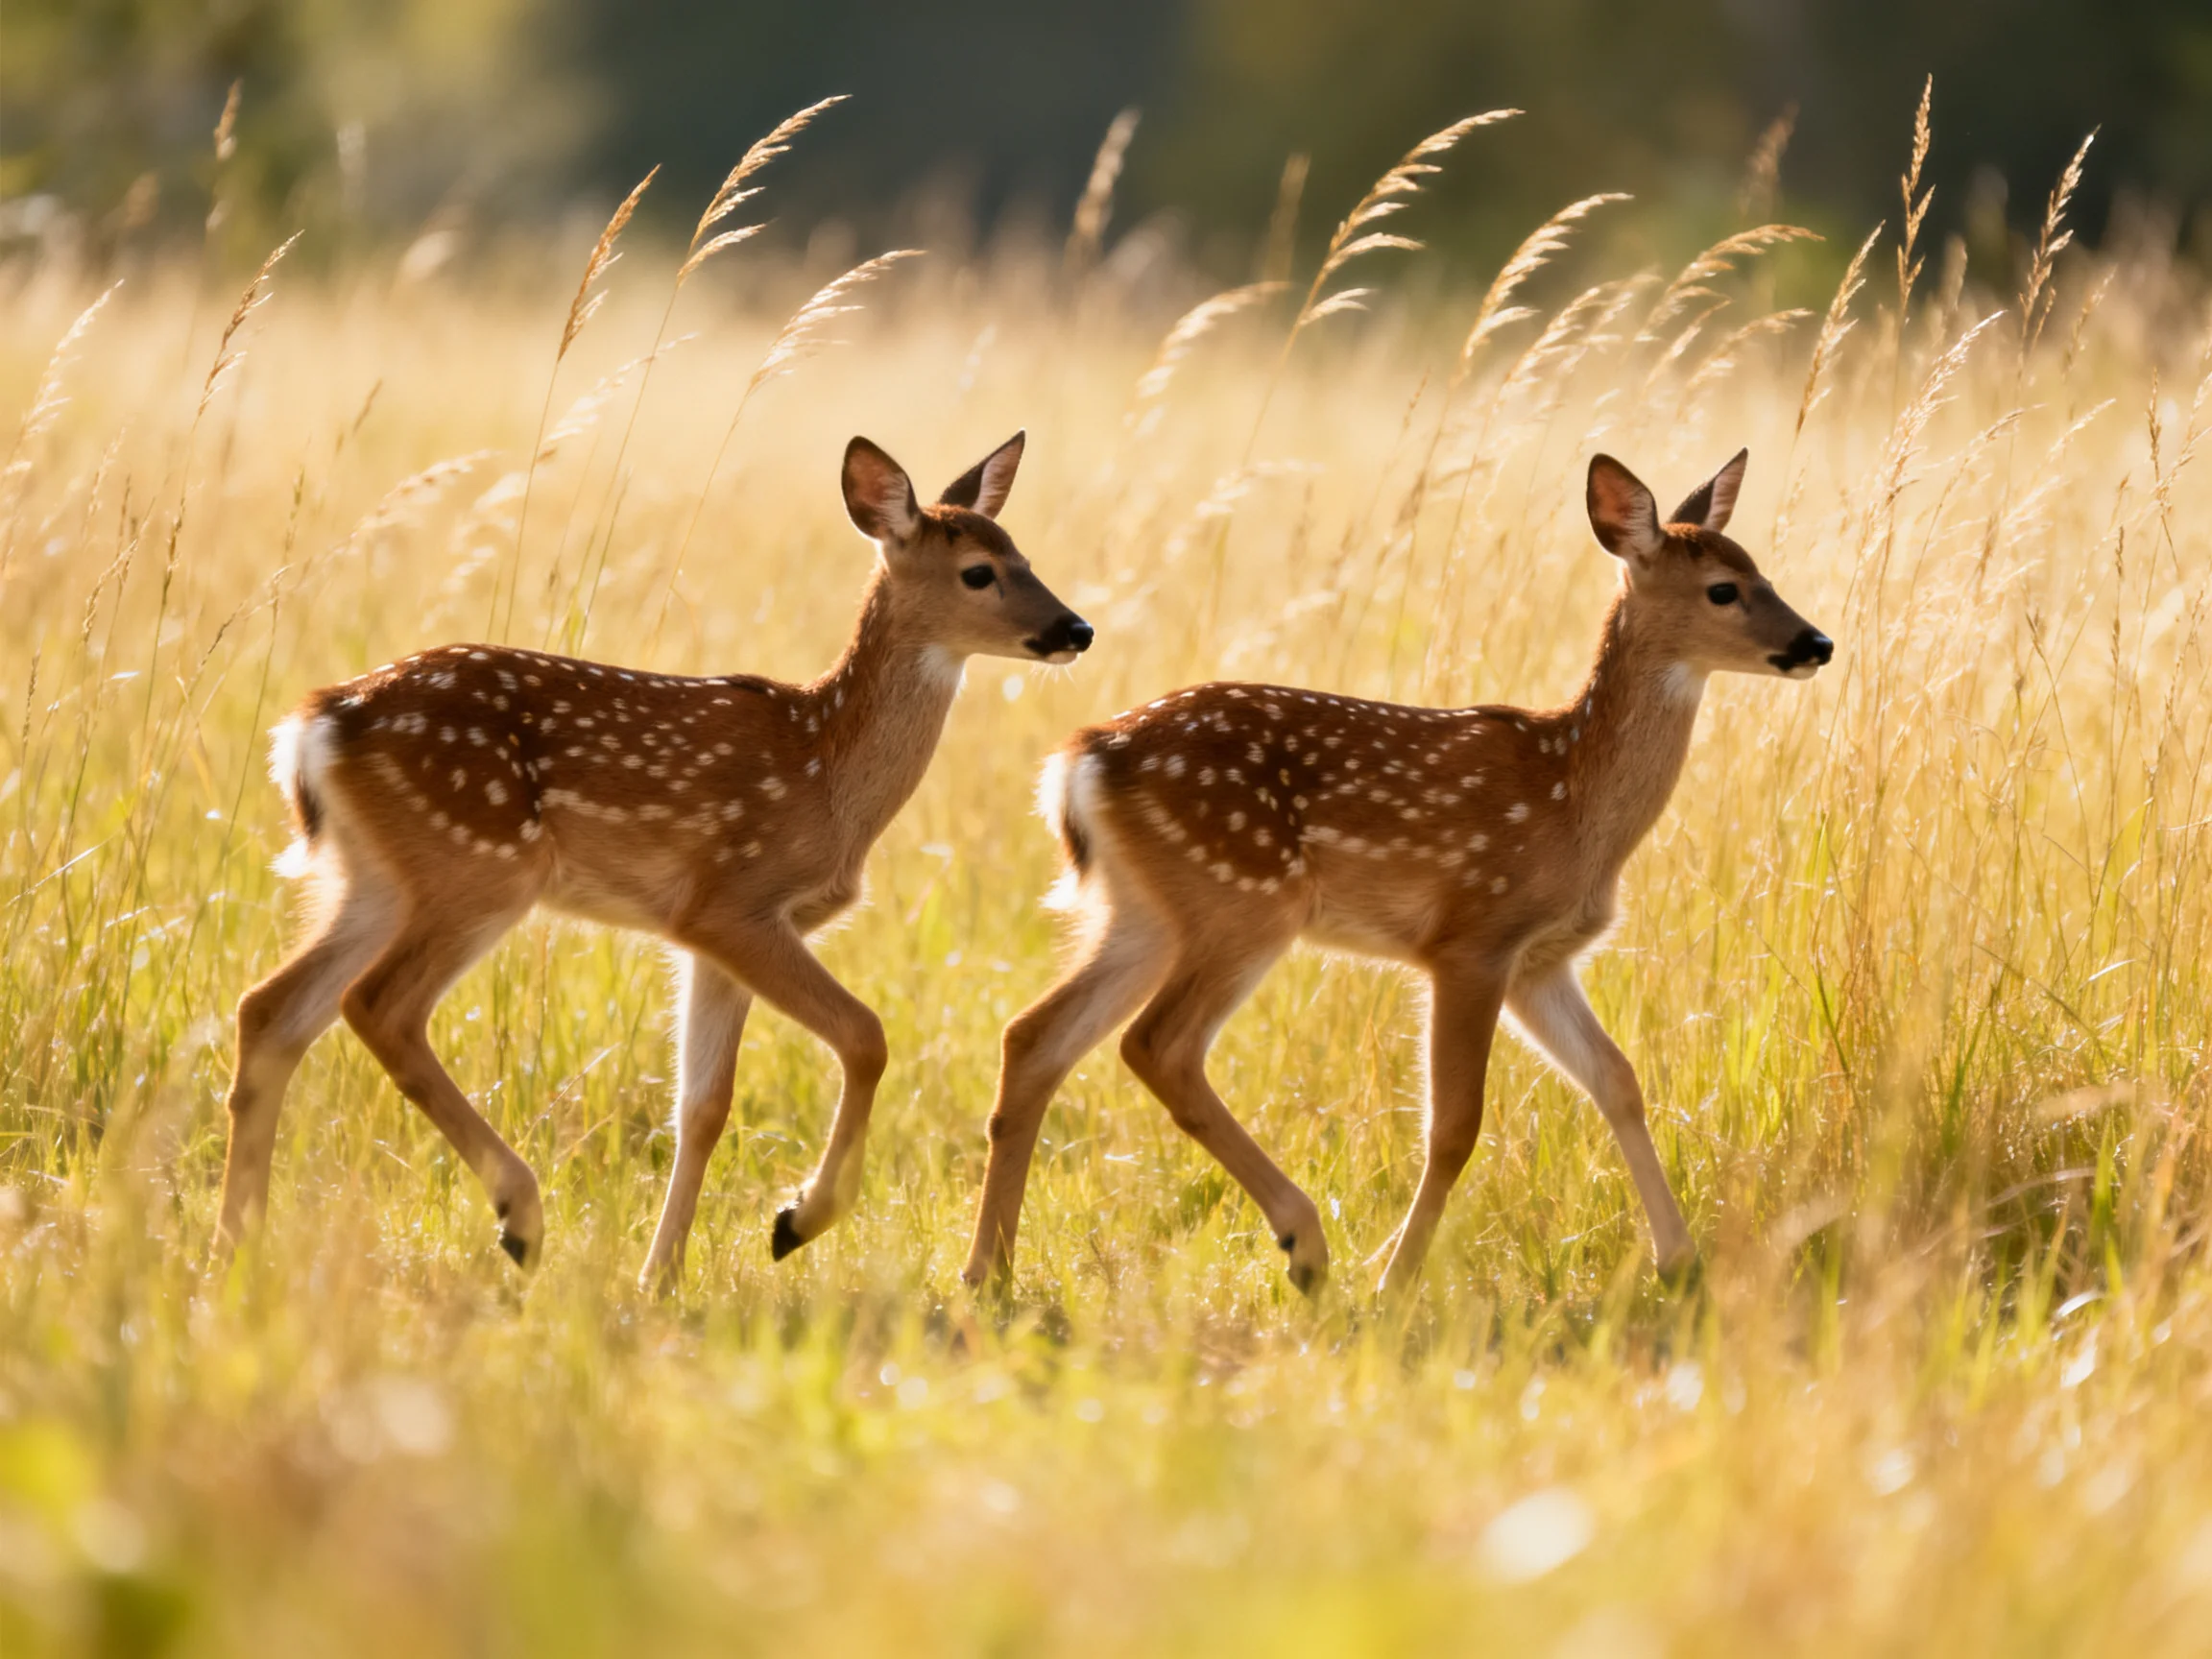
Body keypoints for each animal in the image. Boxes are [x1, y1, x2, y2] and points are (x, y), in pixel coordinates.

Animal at [216, 431, 1092, 1288]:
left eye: (1024, 553)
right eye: (978, 572)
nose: (1076, 629)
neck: (827, 773)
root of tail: (317, 724)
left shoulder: (709, 938)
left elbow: (701, 1105)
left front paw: (661, 1277)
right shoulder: (732, 901)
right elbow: (865, 1035)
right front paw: (797, 1221)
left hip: (375, 881)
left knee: (270, 1009)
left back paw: (236, 1245)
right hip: (478, 866)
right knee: (378, 1006)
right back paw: (519, 1215)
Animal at [961, 450, 1830, 1296]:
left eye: (1760, 570)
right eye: (1724, 589)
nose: (1817, 643)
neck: (1574, 798)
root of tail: (1084, 757)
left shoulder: (1541, 961)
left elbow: (1617, 1080)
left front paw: (1680, 1264)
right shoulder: (1473, 937)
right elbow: (1454, 1127)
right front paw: (1395, 1280)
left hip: (1146, 913)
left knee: (1033, 1036)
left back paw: (989, 1272)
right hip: (1245, 899)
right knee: (1158, 1045)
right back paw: (1304, 1244)